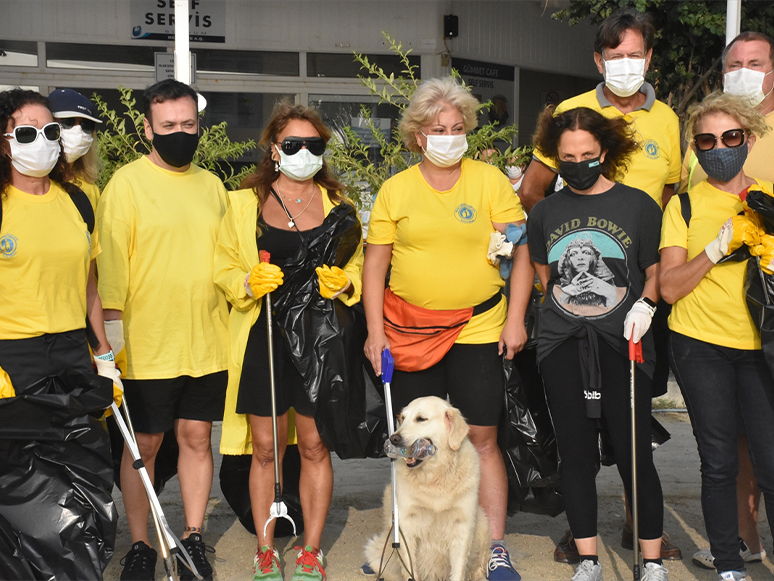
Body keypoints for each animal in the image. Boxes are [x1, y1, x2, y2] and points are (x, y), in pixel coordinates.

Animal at [366, 394, 488, 580]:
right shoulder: (406, 524)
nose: (394, 438)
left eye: (421, 419)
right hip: (375, 552)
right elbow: (410, 568)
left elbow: (458, 569)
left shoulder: (462, 524)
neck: (433, 476)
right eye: (402, 418)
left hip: (483, 524)